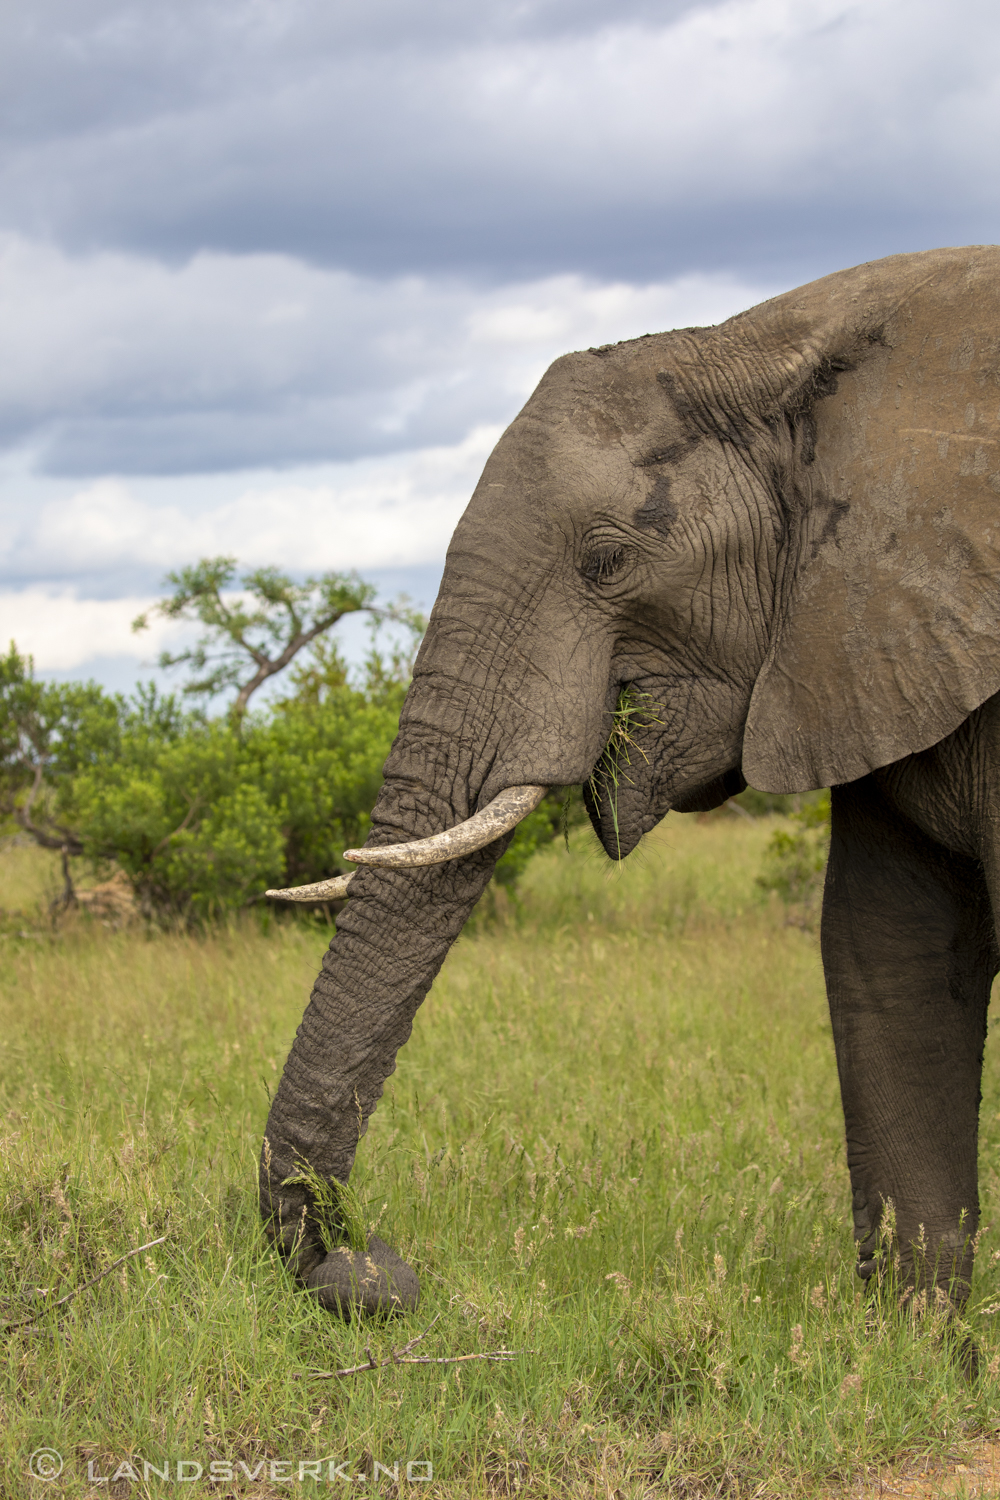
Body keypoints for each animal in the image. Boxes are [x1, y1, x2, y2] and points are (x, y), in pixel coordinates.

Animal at [262, 246, 1000, 1326]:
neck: (773, 348)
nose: (366, 1266)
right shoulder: (860, 638)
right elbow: (884, 957)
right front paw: (918, 1345)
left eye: (606, 560)